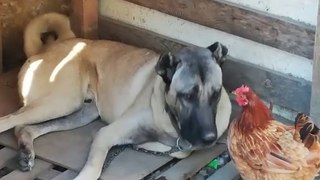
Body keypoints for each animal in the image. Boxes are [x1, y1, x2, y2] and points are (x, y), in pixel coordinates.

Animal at [0, 13, 231, 179]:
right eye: (187, 96)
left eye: (216, 93)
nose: (210, 138)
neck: (170, 119)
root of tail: (47, 47)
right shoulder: (106, 134)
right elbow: (93, 169)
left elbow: (179, 150)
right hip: (61, 102)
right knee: (10, 120)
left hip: (80, 112)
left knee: (25, 127)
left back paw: (26, 152)